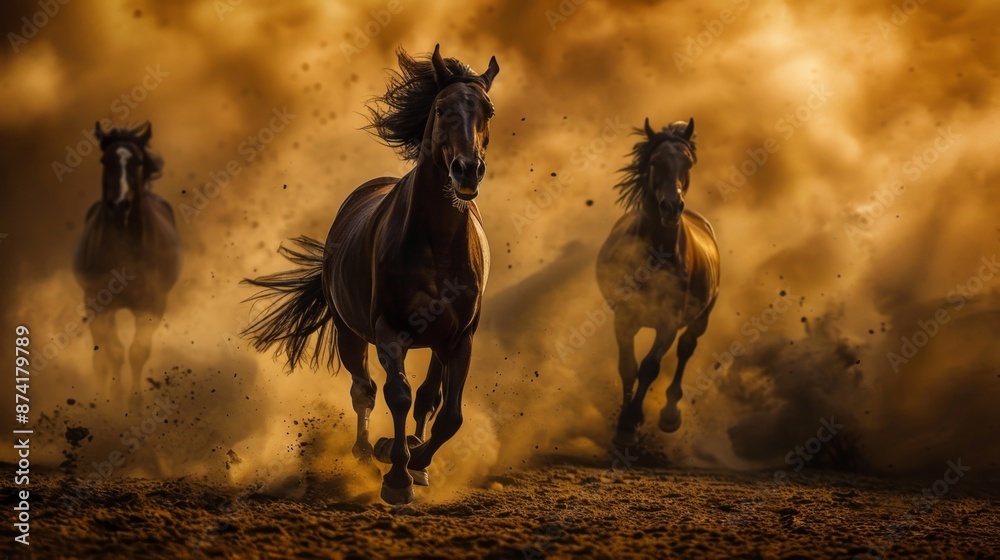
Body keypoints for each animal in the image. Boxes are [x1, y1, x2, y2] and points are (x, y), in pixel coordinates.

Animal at [72, 122, 182, 409]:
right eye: (104, 159)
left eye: (138, 161)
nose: (119, 204)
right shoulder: (97, 303)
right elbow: (112, 354)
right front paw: (114, 398)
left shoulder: (152, 305)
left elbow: (137, 352)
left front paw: (134, 403)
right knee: (101, 357)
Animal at [243, 45, 499, 504]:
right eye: (441, 108)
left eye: (488, 110)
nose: (467, 169)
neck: (437, 243)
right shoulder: (388, 329)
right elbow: (396, 395)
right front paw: (394, 474)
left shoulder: (460, 338)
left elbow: (448, 415)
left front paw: (415, 463)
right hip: (349, 332)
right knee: (364, 390)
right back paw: (365, 453)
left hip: (435, 342)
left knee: (427, 399)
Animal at [596, 118, 720, 448]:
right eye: (655, 162)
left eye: (688, 162)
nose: (671, 207)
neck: (656, 253)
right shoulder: (625, 316)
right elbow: (628, 366)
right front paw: (624, 424)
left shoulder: (668, 322)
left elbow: (650, 366)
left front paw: (631, 421)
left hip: (702, 317)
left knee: (686, 349)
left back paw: (670, 414)